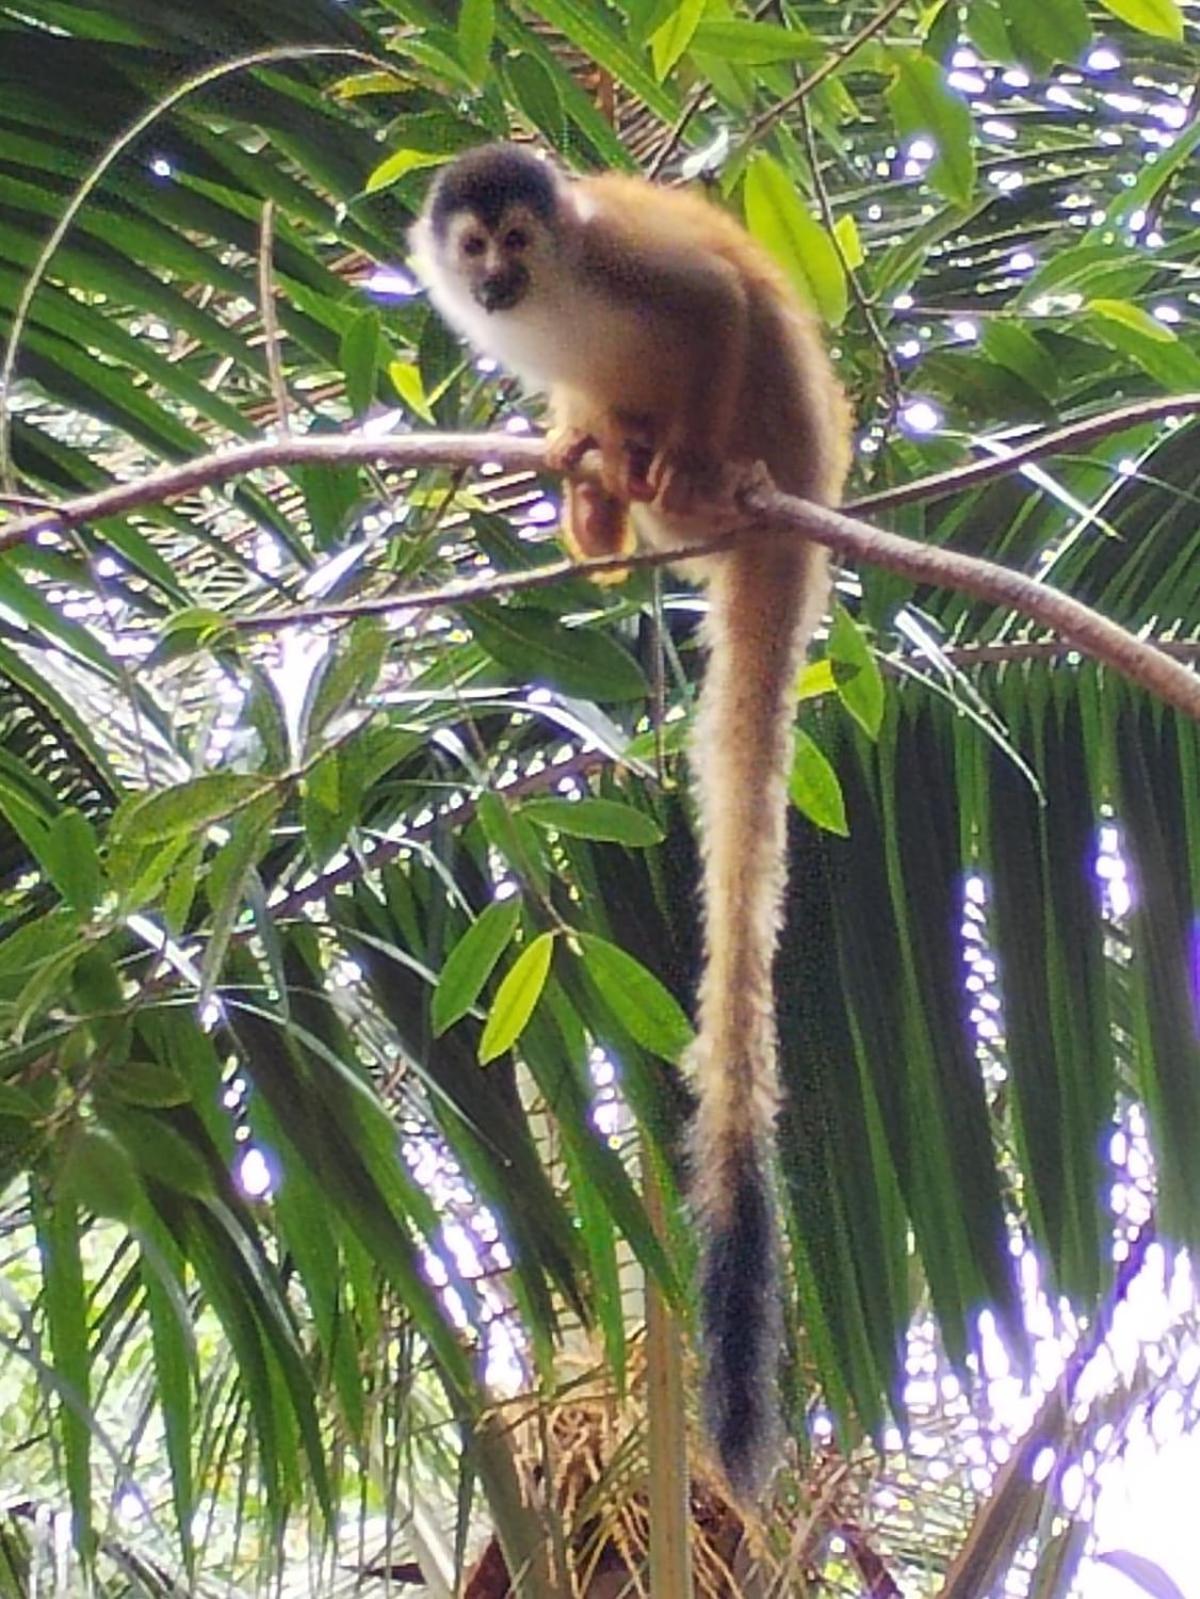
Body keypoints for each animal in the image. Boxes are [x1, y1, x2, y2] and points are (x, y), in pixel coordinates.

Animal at [409, 142, 852, 1499]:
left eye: (518, 239)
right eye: (474, 249)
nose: (493, 277)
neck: (556, 289)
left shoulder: (621, 263)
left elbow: (715, 303)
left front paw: (678, 451)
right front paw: (580, 458)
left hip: (779, 443)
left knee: (746, 338)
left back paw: (693, 480)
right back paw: (605, 492)